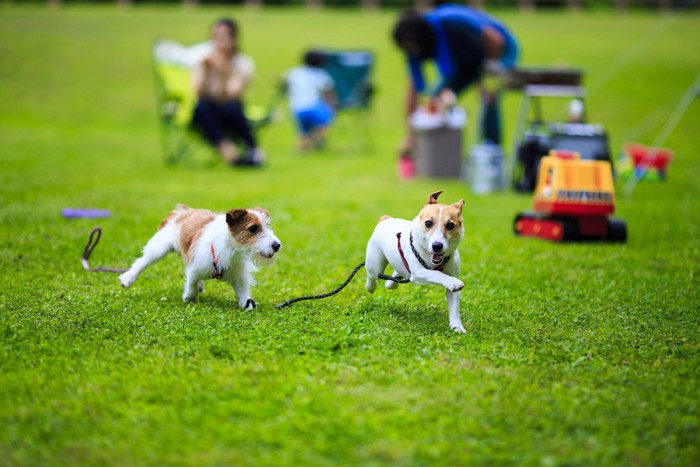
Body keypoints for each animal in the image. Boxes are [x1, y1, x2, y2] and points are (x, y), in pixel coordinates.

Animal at [120, 206, 282, 310]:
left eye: (268, 227)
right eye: (253, 228)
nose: (277, 245)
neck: (231, 249)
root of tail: (185, 211)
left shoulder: (239, 277)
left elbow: (245, 297)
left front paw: (248, 306)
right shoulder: (195, 266)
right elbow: (191, 283)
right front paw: (189, 298)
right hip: (158, 248)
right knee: (142, 261)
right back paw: (128, 278)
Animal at [364, 192, 468, 334]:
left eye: (450, 225)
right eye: (428, 223)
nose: (437, 246)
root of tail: (386, 219)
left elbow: (454, 306)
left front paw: (457, 327)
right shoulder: (419, 273)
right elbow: (437, 274)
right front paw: (452, 282)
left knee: (396, 275)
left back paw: (392, 282)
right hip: (375, 264)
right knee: (372, 276)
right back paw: (370, 287)